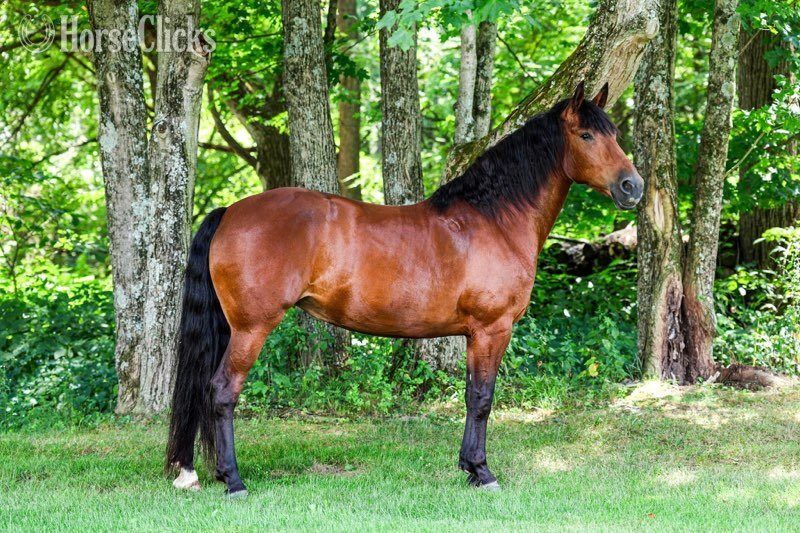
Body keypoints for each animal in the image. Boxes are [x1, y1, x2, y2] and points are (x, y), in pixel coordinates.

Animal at [166, 82, 644, 496]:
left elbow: (471, 395)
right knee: (222, 392)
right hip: (251, 328)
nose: (632, 187)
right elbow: (483, 398)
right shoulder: (492, 329)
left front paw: (469, 467)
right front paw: (483, 471)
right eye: (586, 135)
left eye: (615, 134)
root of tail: (230, 212)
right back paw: (233, 480)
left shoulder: (476, 334)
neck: (494, 219)